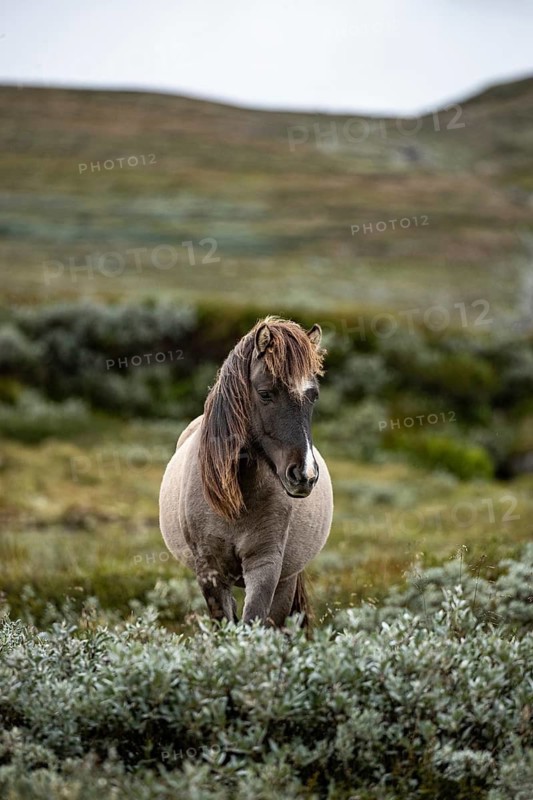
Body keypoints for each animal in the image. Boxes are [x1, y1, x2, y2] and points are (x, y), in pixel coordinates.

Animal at [159, 316, 333, 627]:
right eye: (265, 394)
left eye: (313, 396)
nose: (305, 475)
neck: (236, 498)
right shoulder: (210, 571)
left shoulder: (266, 567)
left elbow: (253, 623)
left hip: (286, 581)